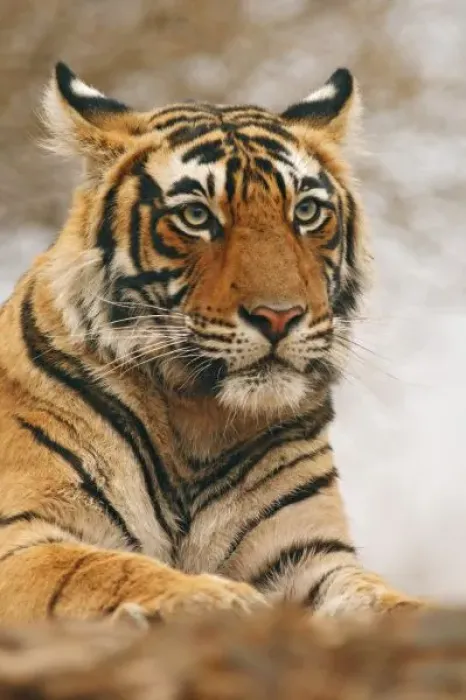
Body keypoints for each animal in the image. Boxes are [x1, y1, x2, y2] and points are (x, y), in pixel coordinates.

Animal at [0, 62, 421, 624]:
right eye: (197, 217)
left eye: (307, 212)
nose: (279, 316)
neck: (197, 420)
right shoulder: (22, 534)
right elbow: (100, 568)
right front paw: (215, 598)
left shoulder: (307, 553)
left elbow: (378, 597)